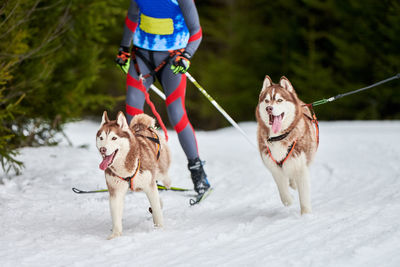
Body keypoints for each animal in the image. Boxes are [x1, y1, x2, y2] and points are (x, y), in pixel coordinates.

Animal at [98, 111, 172, 241]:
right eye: (101, 138)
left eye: (114, 138)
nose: (103, 149)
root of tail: (141, 126)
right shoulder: (115, 191)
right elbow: (116, 216)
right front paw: (115, 235)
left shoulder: (150, 186)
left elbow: (157, 211)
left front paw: (159, 228)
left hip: (160, 168)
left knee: (164, 175)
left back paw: (167, 183)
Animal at [256, 76, 318, 216]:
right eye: (266, 100)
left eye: (279, 100)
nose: (269, 108)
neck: (279, 137)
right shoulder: (274, 167)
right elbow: (282, 189)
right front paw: (288, 200)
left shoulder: (301, 167)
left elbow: (304, 195)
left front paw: (306, 215)